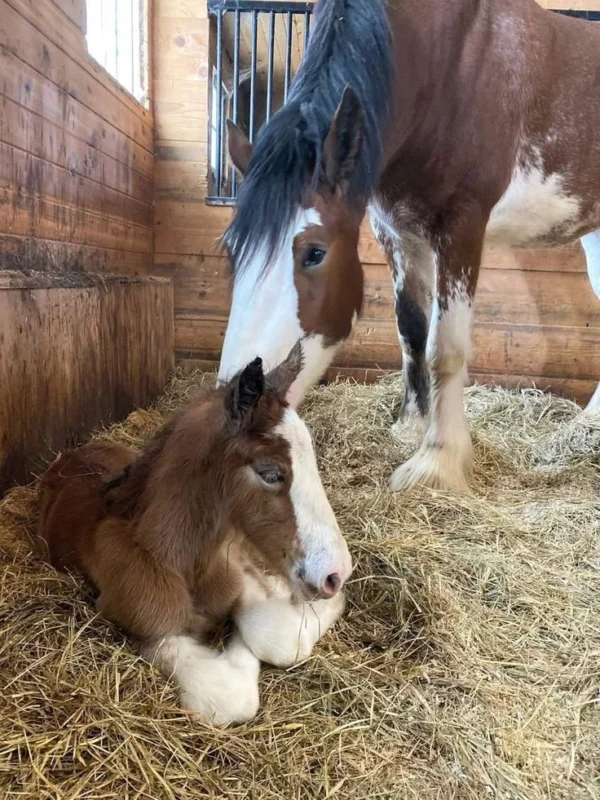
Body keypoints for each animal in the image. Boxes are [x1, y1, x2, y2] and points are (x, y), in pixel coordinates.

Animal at [36, 344, 352, 727]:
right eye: (270, 473)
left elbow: (277, 636)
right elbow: (231, 694)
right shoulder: (148, 629)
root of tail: (72, 453)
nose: (335, 575)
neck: (170, 559)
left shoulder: (236, 569)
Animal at [217, 0, 600, 492]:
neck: (444, 69)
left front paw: (437, 461)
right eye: (232, 251)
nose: (238, 402)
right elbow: (412, 331)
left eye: (315, 253)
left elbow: (445, 348)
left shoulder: (461, 228)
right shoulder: (397, 232)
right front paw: (410, 426)